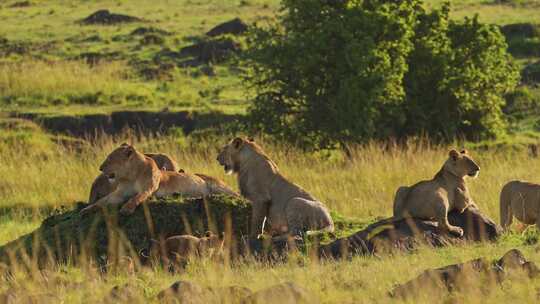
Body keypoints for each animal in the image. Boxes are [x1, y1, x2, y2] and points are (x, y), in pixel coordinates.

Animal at [80, 144, 238, 215]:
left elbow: (137, 197)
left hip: (220, 186)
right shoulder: (119, 193)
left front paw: (127, 208)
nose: (100, 168)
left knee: (235, 194)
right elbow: (102, 201)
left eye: (110, 159)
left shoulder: (149, 187)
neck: (130, 175)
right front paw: (87, 209)